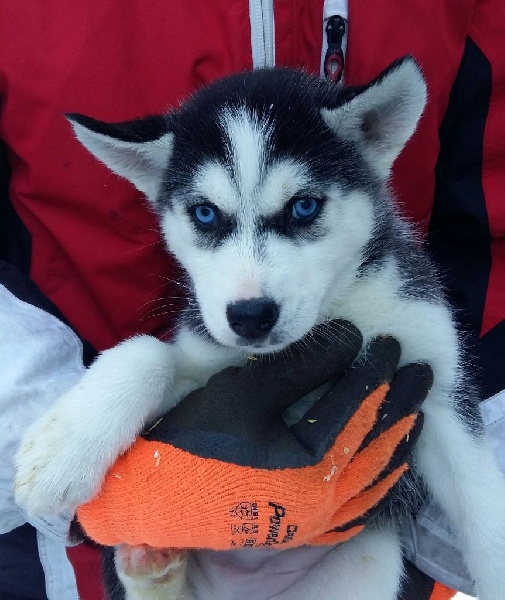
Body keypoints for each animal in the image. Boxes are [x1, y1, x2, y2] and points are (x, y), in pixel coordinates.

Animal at [13, 57, 504, 600]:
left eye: (304, 206)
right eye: (205, 213)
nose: (249, 316)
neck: (330, 319)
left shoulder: (436, 381)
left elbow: (484, 511)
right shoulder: (208, 362)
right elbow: (148, 352)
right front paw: (62, 449)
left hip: (365, 564)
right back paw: (148, 562)